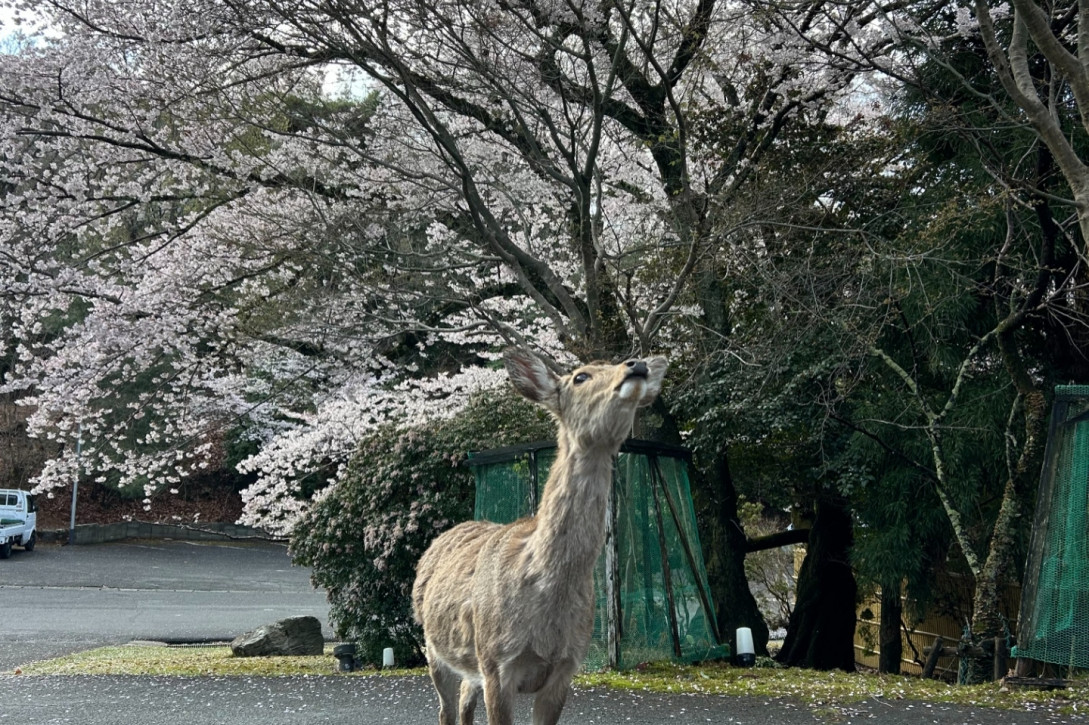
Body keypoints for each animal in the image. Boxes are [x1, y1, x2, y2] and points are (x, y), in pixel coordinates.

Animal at [412, 348, 668, 725]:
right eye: (580, 376)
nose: (638, 365)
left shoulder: (566, 665)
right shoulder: (496, 662)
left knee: (463, 701)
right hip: (434, 647)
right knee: (445, 709)